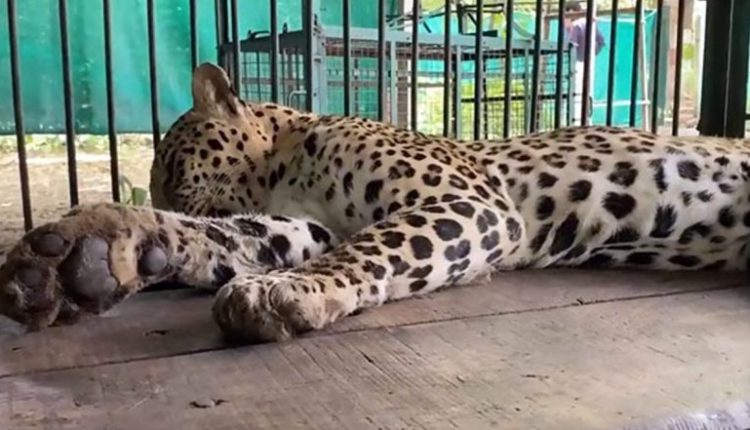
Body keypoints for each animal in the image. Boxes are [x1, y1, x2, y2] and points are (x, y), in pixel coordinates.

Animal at [1, 62, 749, 342]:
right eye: (153, 181)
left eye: (173, 165)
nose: (156, 189)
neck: (285, 163)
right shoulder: (300, 227)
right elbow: (221, 237)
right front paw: (91, 250)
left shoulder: (469, 201)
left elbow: (377, 248)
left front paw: (282, 295)